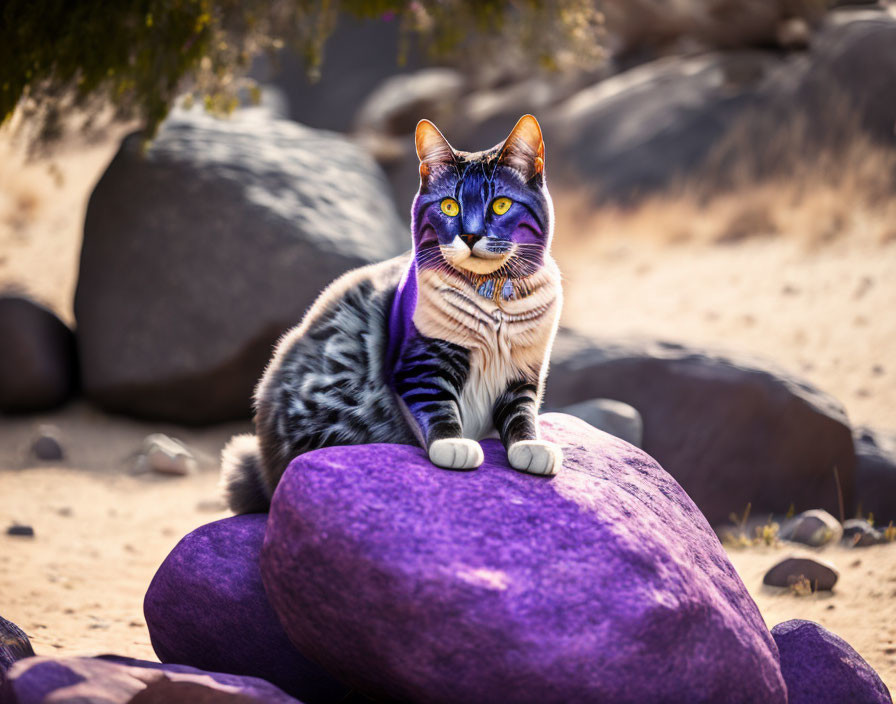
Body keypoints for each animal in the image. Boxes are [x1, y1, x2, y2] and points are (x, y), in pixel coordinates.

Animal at [220, 114, 560, 512]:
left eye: (501, 205)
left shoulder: (523, 373)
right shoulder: (420, 363)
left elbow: (522, 415)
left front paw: (530, 446)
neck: (493, 301)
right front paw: (452, 444)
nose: (471, 236)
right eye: (450, 207)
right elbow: (437, 406)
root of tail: (264, 465)